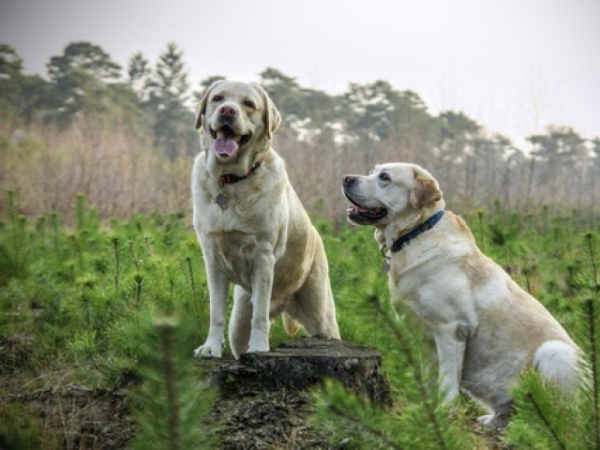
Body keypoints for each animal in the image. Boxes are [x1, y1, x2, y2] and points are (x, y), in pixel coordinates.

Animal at [344, 161, 584, 426]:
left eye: (385, 177)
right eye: (372, 171)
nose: (346, 178)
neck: (416, 232)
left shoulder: (451, 330)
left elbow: (447, 380)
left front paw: (443, 413)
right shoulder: (425, 339)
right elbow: (430, 377)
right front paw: (427, 409)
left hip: (553, 352)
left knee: (566, 415)